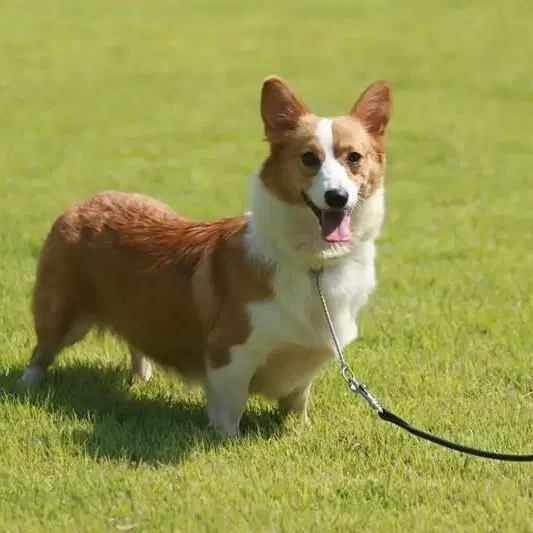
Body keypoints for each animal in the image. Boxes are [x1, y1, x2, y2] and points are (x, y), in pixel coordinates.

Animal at [20, 77, 390, 436]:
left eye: (353, 157)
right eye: (309, 158)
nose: (337, 197)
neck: (314, 263)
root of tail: (83, 203)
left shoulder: (304, 362)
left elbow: (298, 399)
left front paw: (300, 429)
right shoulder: (231, 356)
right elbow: (229, 409)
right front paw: (227, 440)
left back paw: (142, 377)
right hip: (63, 314)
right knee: (41, 352)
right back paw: (27, 387)